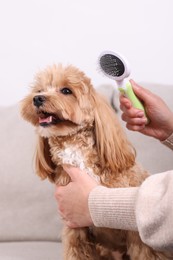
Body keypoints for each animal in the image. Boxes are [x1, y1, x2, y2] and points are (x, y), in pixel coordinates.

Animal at [20, 63, 173, 260]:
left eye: (66, 90)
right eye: (39, 90)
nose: (37, 98)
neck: (77, 153)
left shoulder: (137, 236)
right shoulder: (76, 230)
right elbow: (75, 253)